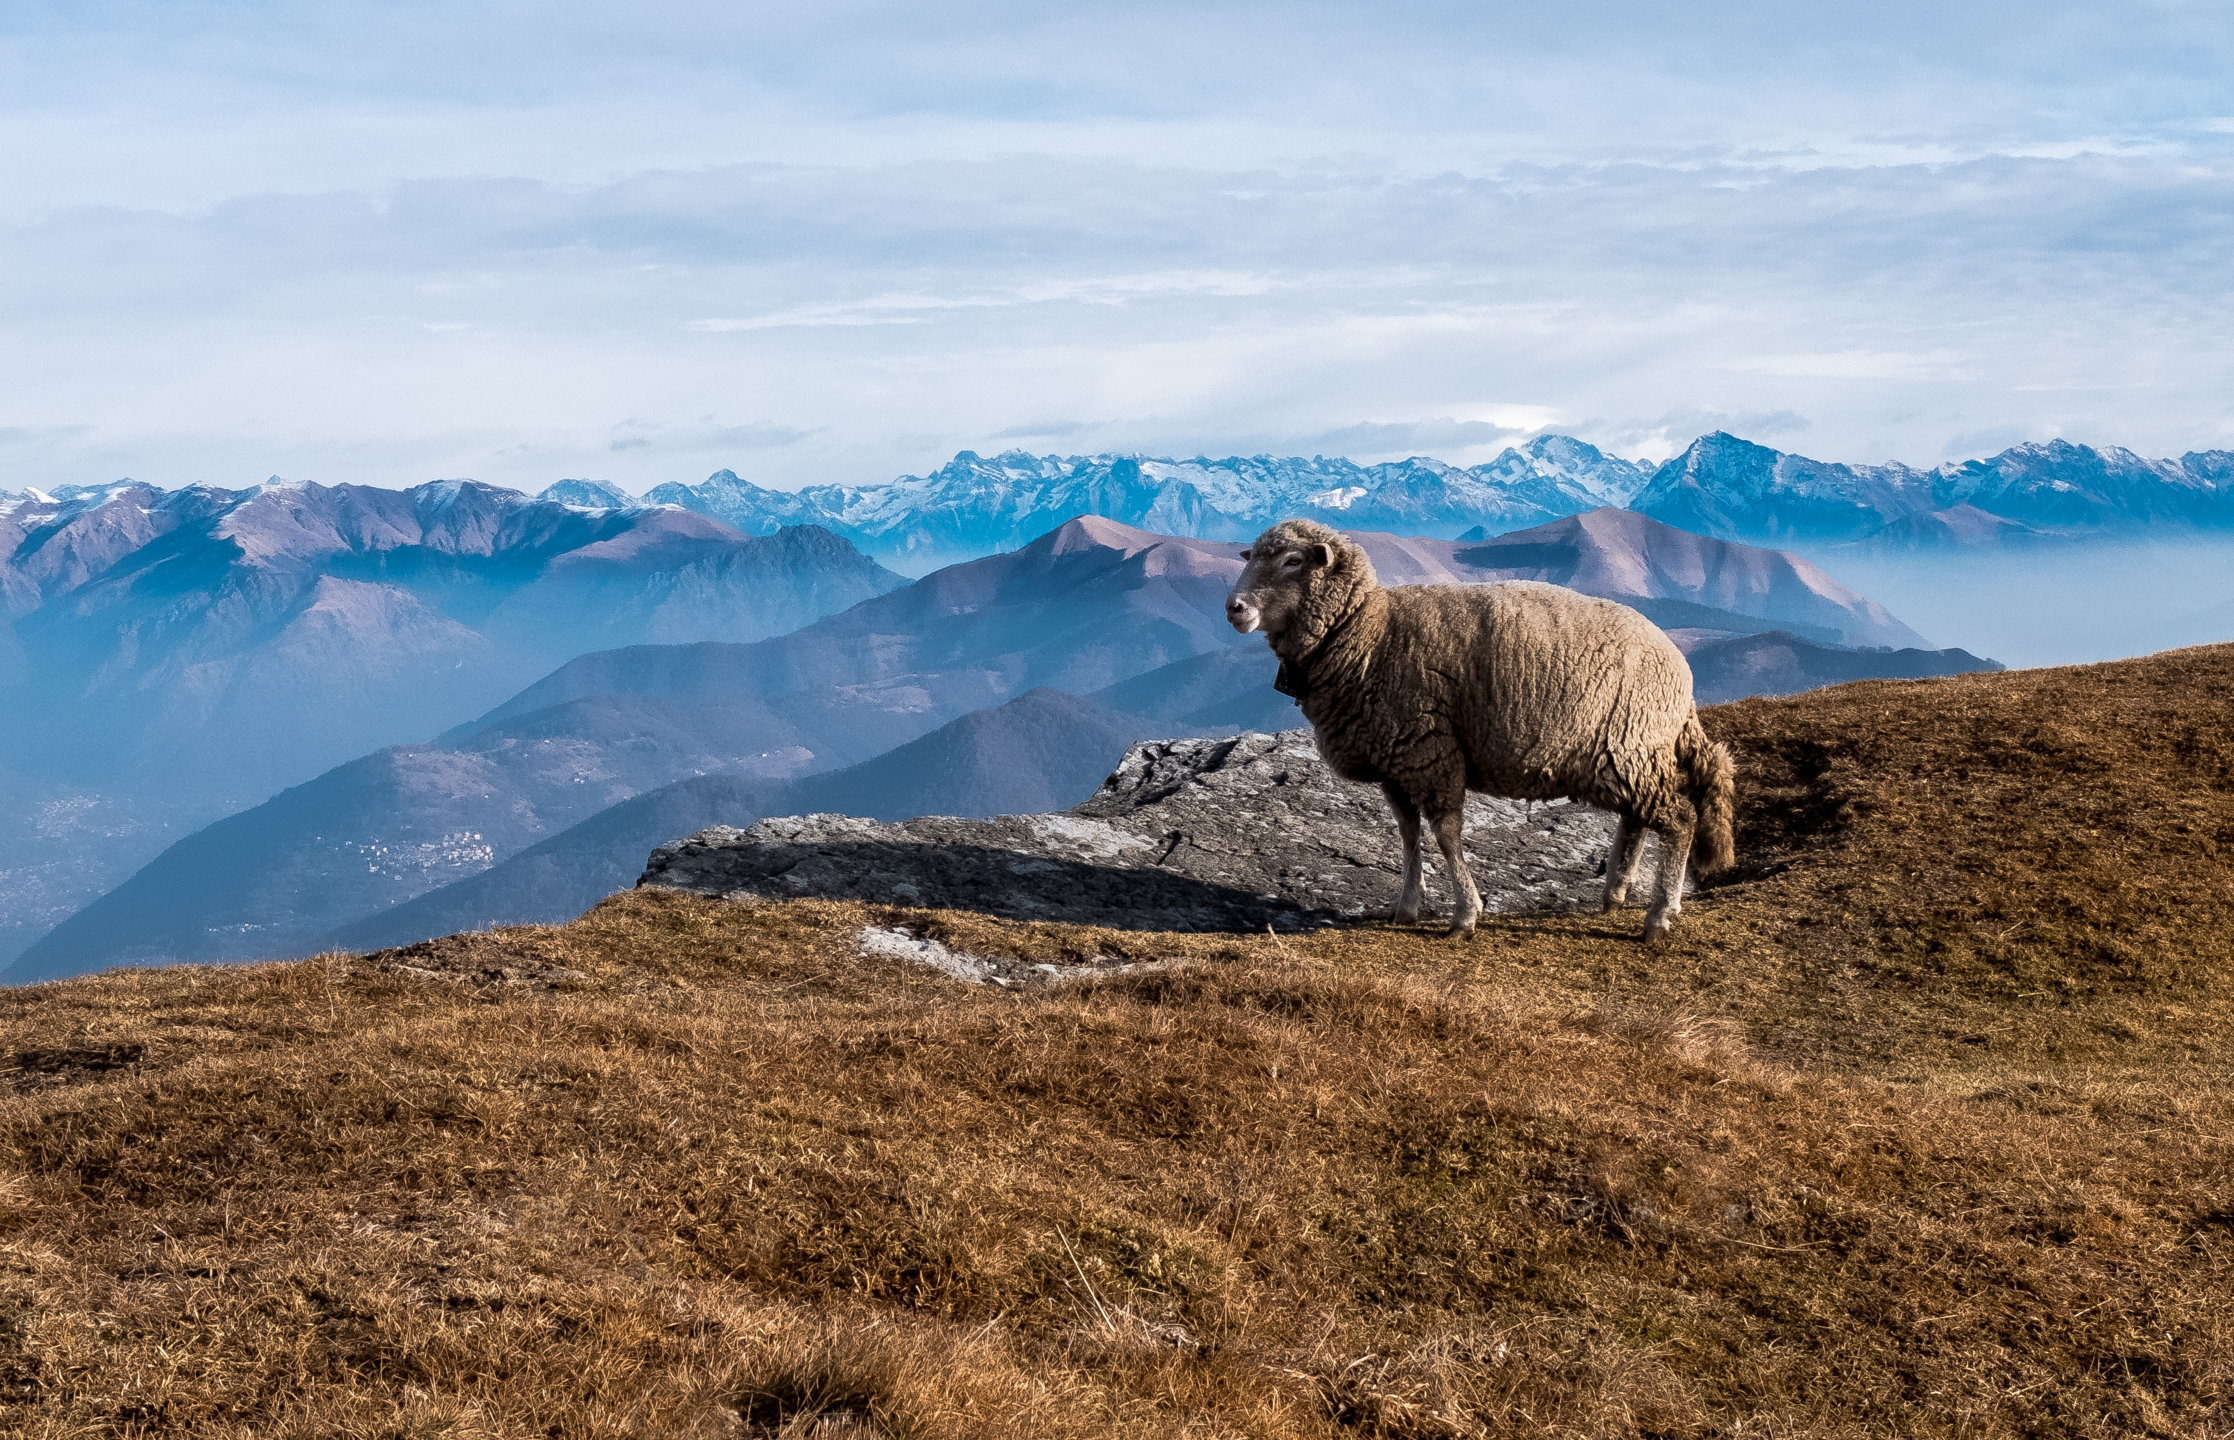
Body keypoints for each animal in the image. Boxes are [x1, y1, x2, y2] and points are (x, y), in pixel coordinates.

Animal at [1225, 519, 1735, 939]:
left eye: (1292, 561)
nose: (1234, 608)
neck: (1367, 633)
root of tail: (1682, 676)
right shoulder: (1394, 762)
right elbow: (1408, 834)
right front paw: (1406, 906)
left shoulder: (1430, 751)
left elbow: (1446, 836)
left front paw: (1465, 916)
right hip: (1626, 752)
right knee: (1638, 818)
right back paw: (1616, 893)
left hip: (1626, 746)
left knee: (1680, 818)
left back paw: (1660, 916)